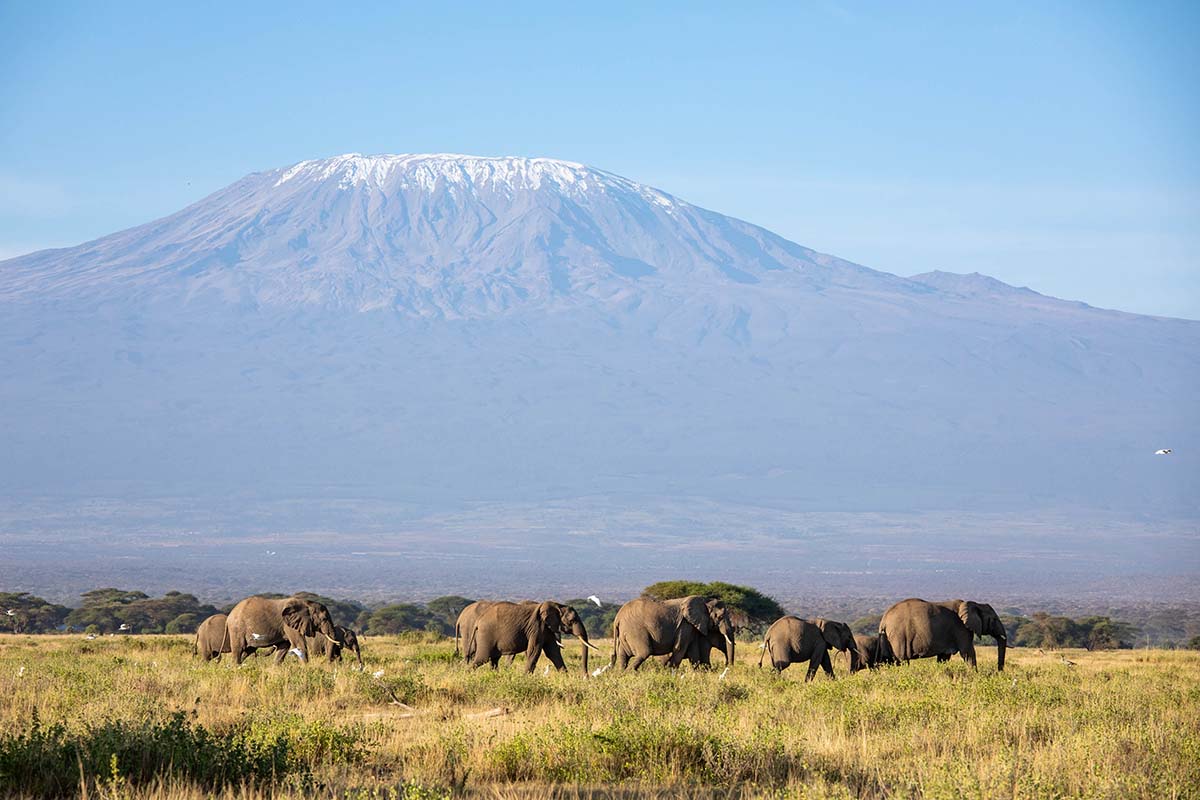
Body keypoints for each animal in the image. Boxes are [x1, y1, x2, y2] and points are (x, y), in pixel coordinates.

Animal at [465, 600, 597, 674]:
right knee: (482, 658)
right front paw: (525, 678)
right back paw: (466, 675)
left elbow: (553, 652)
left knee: (494, 660)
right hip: (486, 635)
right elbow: (534, 651)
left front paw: (566, 677)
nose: (586, 677)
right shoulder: (536, 627)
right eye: (572, 620)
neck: (557, 605)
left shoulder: (546, 629)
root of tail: (478, 621)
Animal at [878, 598, 1007, 671]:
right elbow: (968, 653)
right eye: (994, 619)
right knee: (901, 660)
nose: (998, 672)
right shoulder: (961, 628)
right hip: (898, 636)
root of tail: (883, 620)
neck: (975, 604)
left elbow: (943, 658)